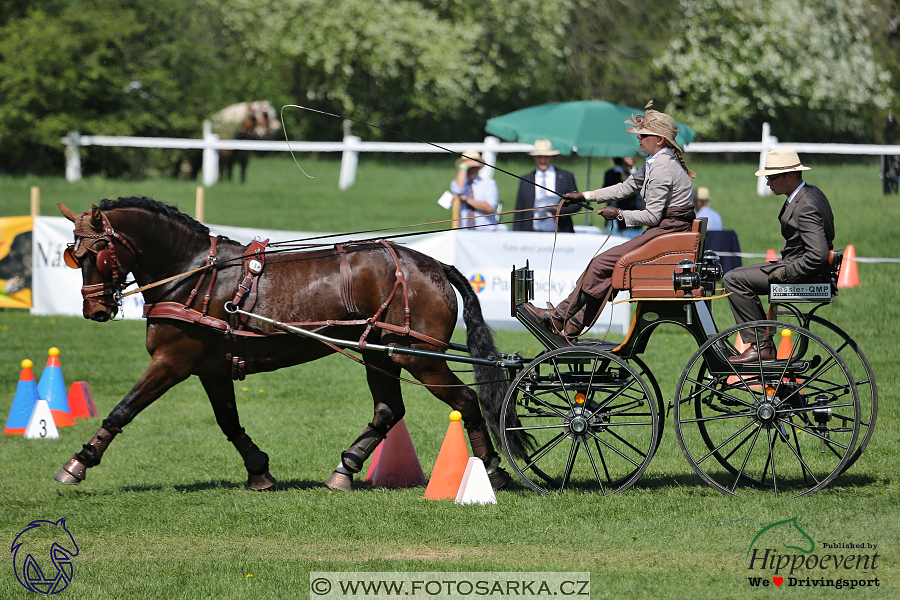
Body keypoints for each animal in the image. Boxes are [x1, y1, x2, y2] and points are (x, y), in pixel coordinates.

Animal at [54, 199, 528, 490]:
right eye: (73, 256)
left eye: (99, 255)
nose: (95, 309)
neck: (195, 274)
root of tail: (434, 264)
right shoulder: (211, 368)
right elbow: (229, 422)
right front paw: (259, 471)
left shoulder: (172, 360)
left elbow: (123, 409)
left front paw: (78, 463)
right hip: (380, 353)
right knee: (388, 410)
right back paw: (345, 469)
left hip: (417, 357)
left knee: (465, 401)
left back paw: (492, 471)